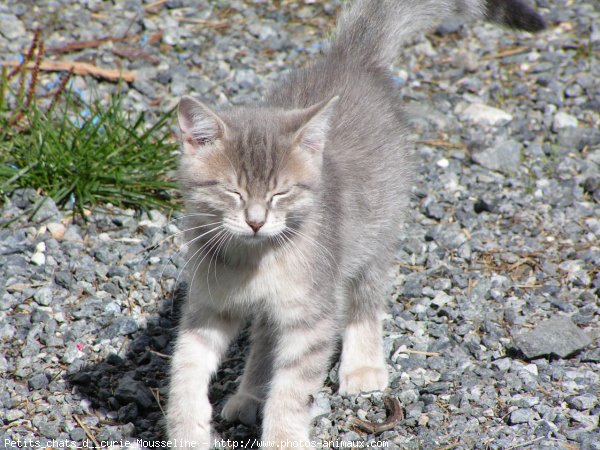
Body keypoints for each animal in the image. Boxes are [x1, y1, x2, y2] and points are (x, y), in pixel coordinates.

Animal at [165, 0, 544, 446]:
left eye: (280, 193)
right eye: (233, 192)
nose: (256, 222)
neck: (253, 260)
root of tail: (351, 58)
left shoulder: (313, 316)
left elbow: (293, 390)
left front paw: (284, 438)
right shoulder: (208, 308)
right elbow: (185, 372)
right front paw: (187, 431)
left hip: (373, 237)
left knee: (366, 298)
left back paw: (362, 366)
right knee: (266, 337)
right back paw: (251, 393)